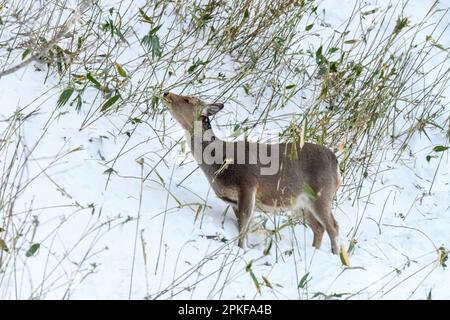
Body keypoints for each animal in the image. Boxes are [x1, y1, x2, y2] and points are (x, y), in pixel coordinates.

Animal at [163, 91, 342, 254]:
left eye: (187, 99)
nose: (166, 93)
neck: (220, 163)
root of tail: (336, 162)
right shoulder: (233, 200)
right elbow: (242, 226)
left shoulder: (248, 185)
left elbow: (244, 225)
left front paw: (241, 249)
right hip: (300, 204)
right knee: (318, 227)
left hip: (322, 193)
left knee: (333, 226)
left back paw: (336, 254)